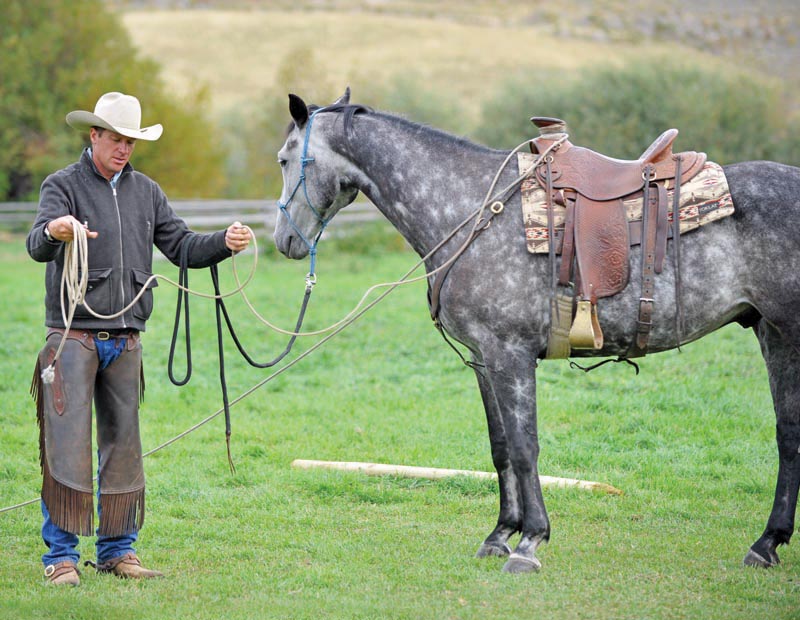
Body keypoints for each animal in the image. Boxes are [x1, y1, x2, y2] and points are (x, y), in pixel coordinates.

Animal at [272, 88, 800, 574]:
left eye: (283, 159)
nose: (284, 241)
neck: (472, 209)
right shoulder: (484, 358)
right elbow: (501, 446)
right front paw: (500, 534)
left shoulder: (510, 354)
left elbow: (526, 448)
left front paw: (530, 542)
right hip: (769, 332)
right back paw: (767, 543)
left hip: (786, 333)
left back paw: (766, 542)